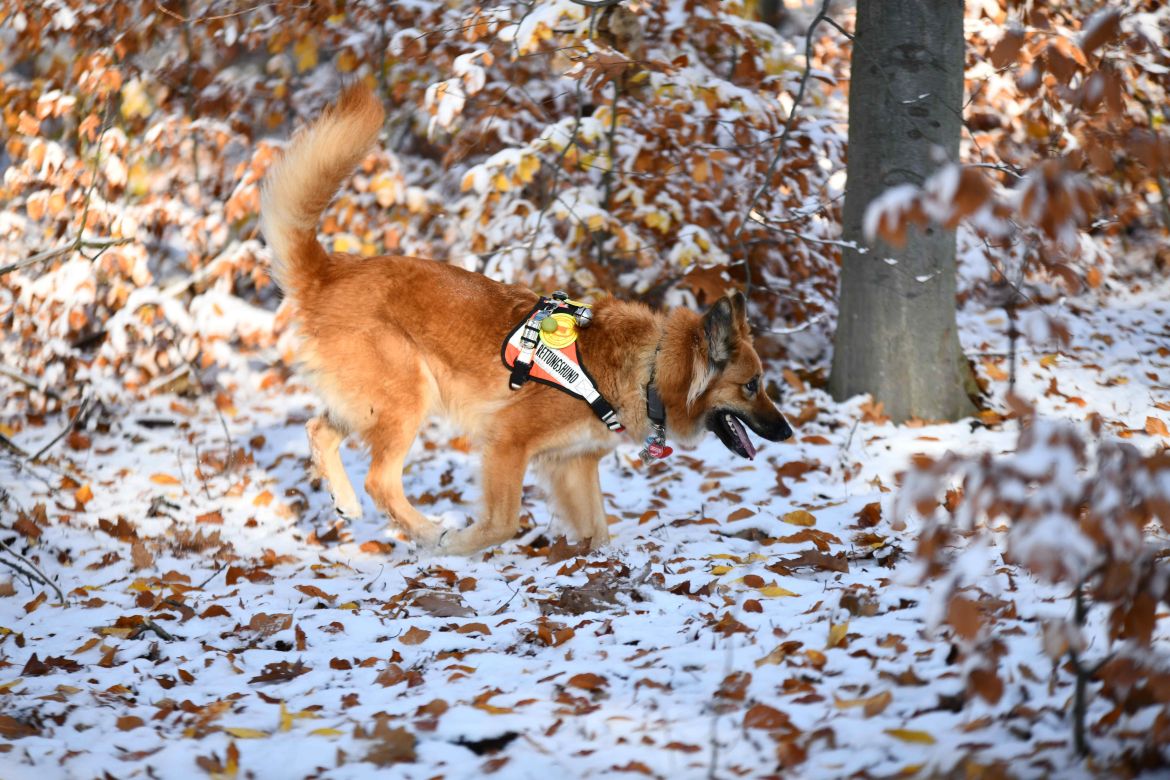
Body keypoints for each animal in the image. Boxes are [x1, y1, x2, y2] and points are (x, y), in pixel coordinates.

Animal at [262, 84, 795, 554]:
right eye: (752, 385)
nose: (788, 433)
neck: (650, 368)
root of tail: (329, 270)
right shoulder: (508, 442)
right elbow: (501, 523)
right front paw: (459, 546)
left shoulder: (573, 465)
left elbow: (599, 531)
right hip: (407, 399)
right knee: (380, 480)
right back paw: (428, 531)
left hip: (368, 404)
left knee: (319, 432)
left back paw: (347, 503)